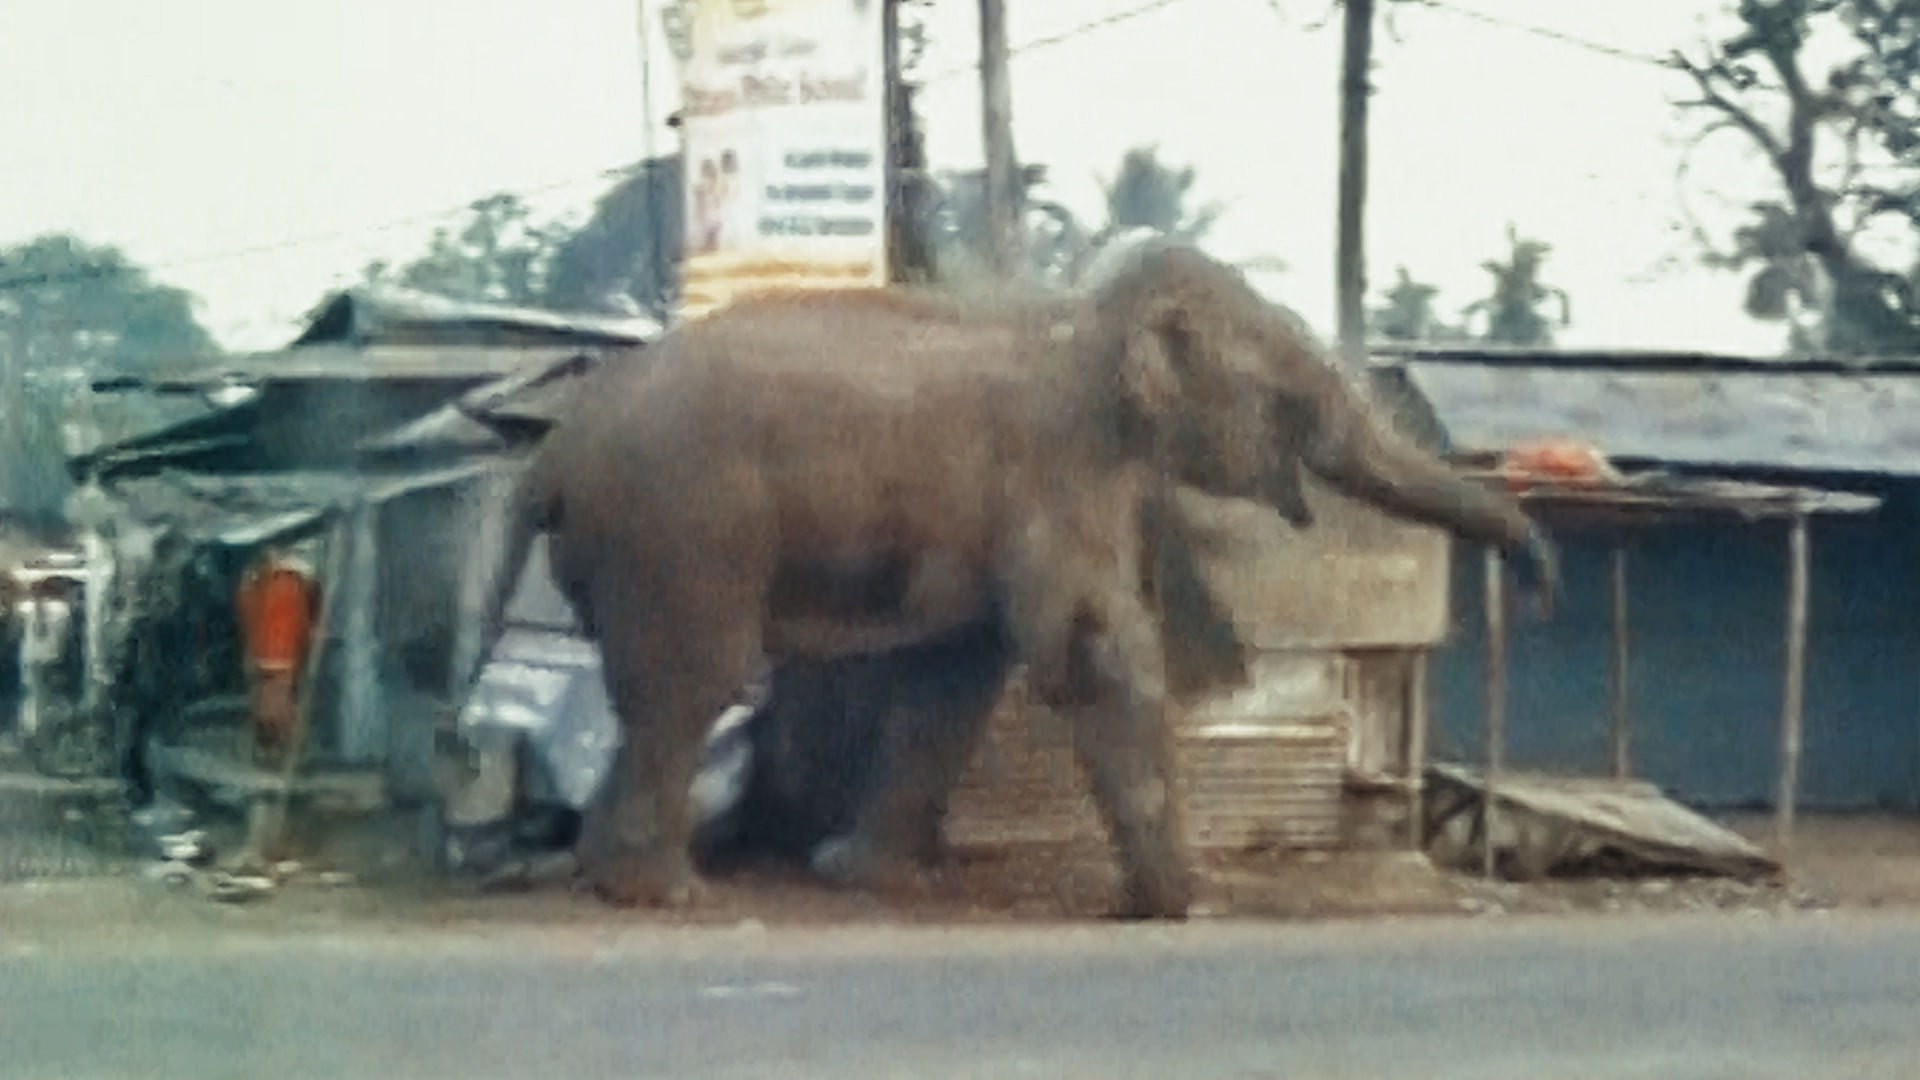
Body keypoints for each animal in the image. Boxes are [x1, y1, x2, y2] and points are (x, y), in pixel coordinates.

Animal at [468, 237, 1559, 914]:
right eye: (1287, 392)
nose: (1541, 584)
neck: (1083, 318)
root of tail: (552, 454)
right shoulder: (1059, 467)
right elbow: (1090, 648)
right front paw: (1180, 904)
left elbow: (957, 675)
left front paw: (866, 878)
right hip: (681, 534)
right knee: (694, 683)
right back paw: (665, 894)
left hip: (646, 545)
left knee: (653, 695)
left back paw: (602, 880)